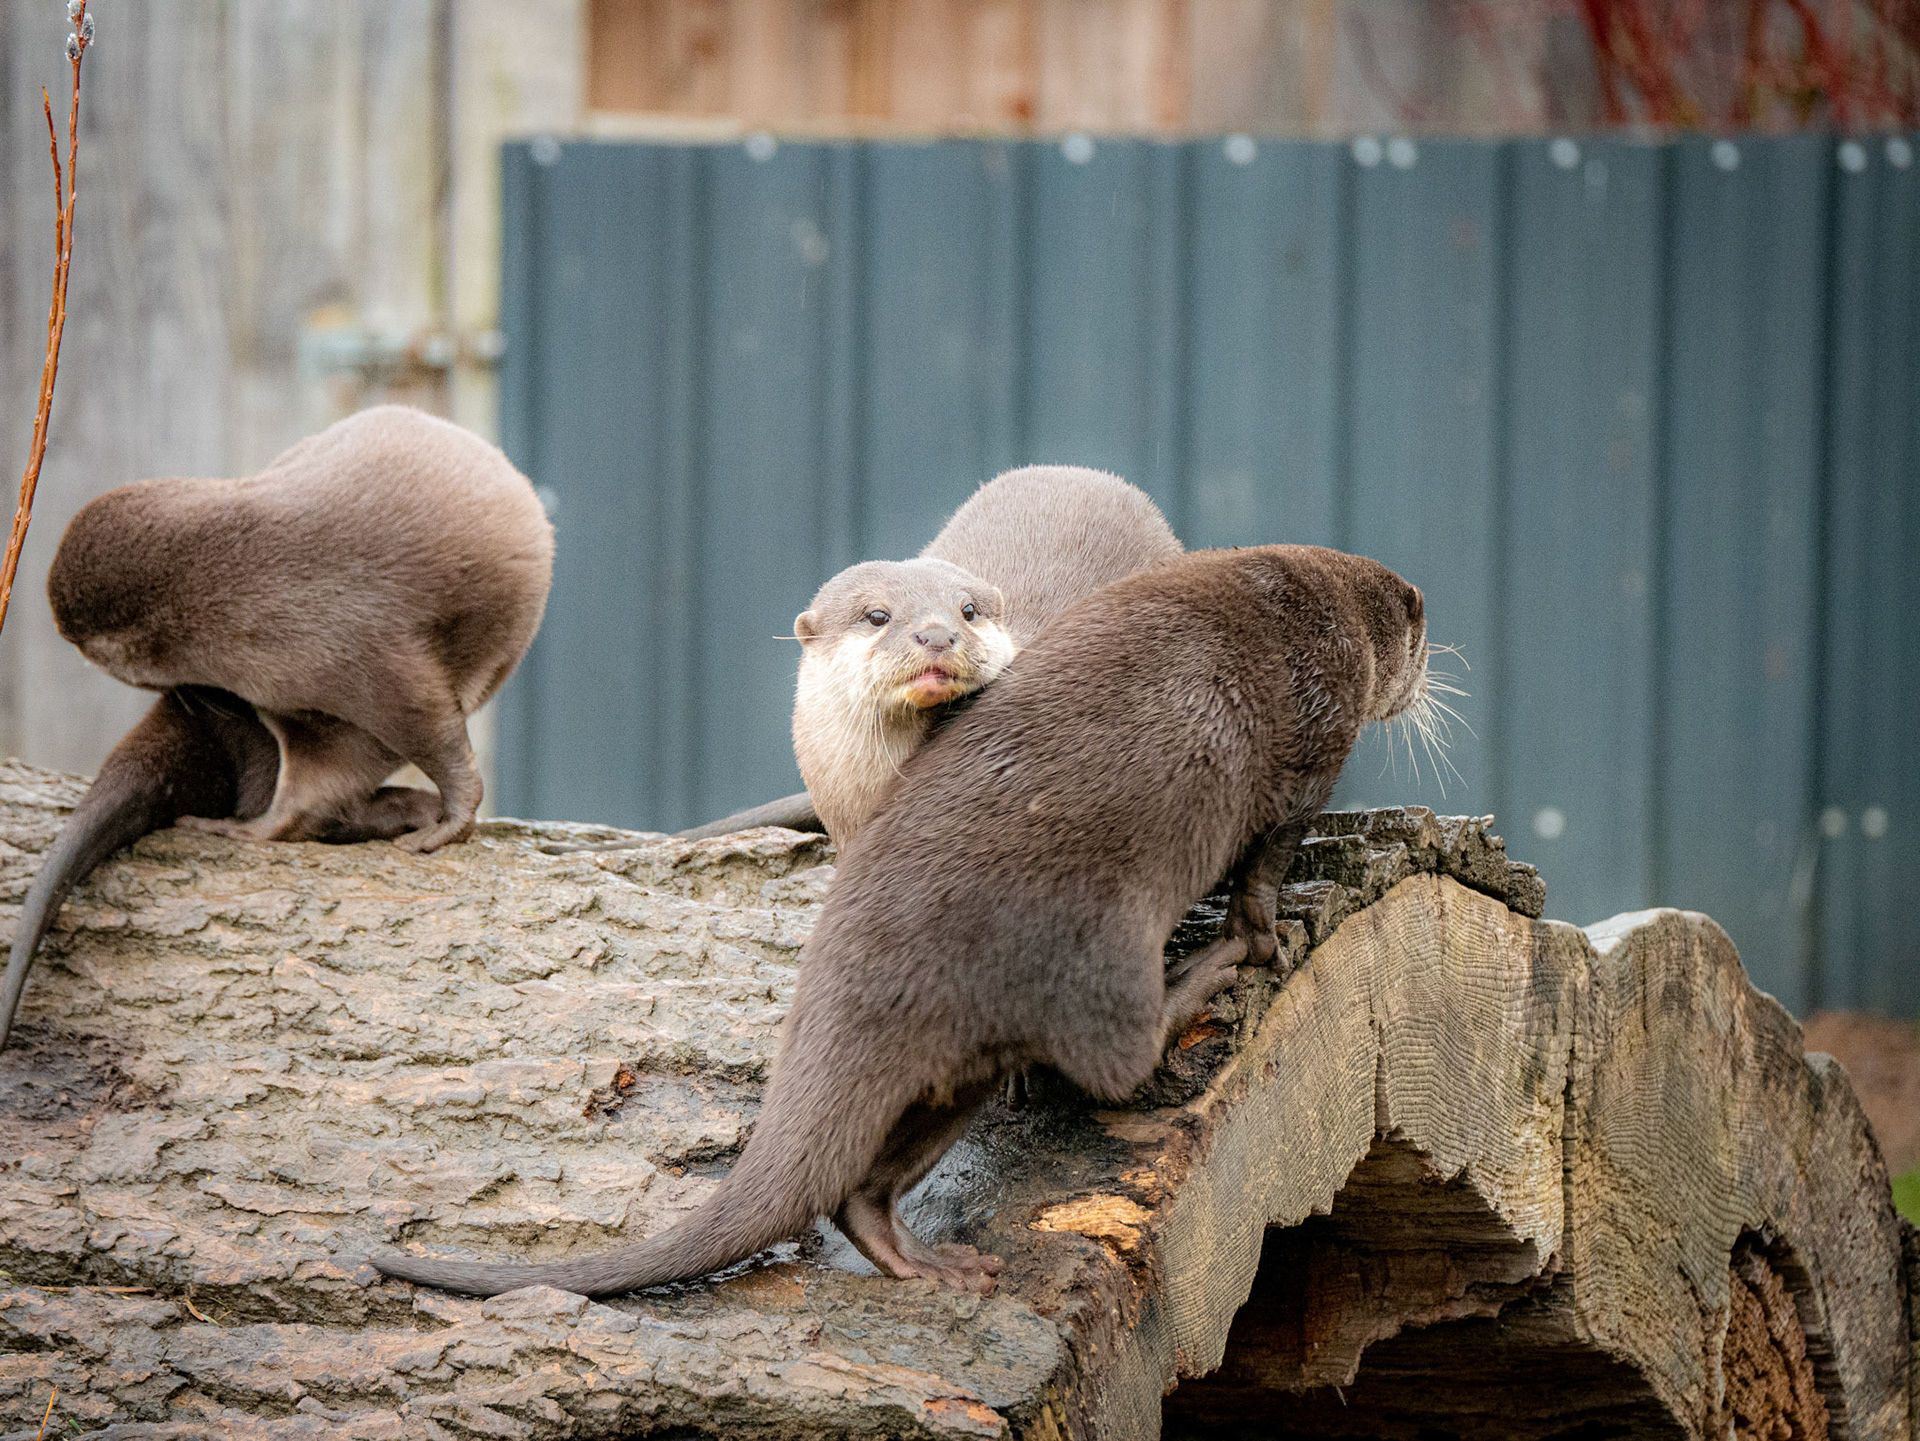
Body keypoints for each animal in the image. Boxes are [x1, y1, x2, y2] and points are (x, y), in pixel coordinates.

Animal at [0, 406, 554, 1052]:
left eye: (87, 646)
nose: (68, 640)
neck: (239, 593)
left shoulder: (361, 653)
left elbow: (422, 735)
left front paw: (451, 823)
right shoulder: (290, 687)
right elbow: (316, 789)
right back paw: (402, 808)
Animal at [371, 543, 1435, 1297]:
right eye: (1418, 647)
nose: (1425, 680)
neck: (1320, 606)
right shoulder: (1309, 750)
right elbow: (1267, 861)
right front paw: (1265, 926)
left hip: (957, 1051)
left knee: (862, 1182)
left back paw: (916, 1257)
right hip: (1090, 938)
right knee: (1114, 1062)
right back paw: (1212, 967)